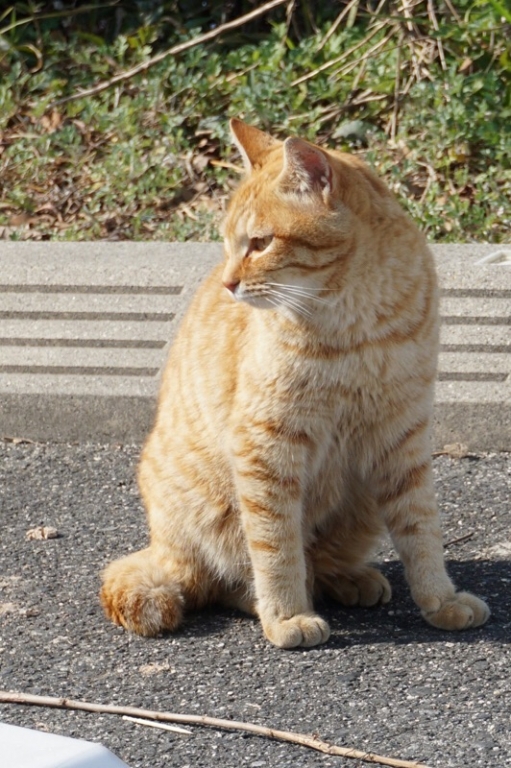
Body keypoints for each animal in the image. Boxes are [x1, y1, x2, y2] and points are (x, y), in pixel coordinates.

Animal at [99, 118, 488, 648]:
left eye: (260, 243)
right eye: (228, 244)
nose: (229, 284)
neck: (355, 323)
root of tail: (162, 548)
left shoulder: (403, 435)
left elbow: (422, 529)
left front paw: (440, 601)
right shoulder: (266, 447)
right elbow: (276, 545)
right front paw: (286, 615)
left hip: (360, 503)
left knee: (321, 560)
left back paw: (350, 580)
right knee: (229, 579)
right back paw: (272, 601)